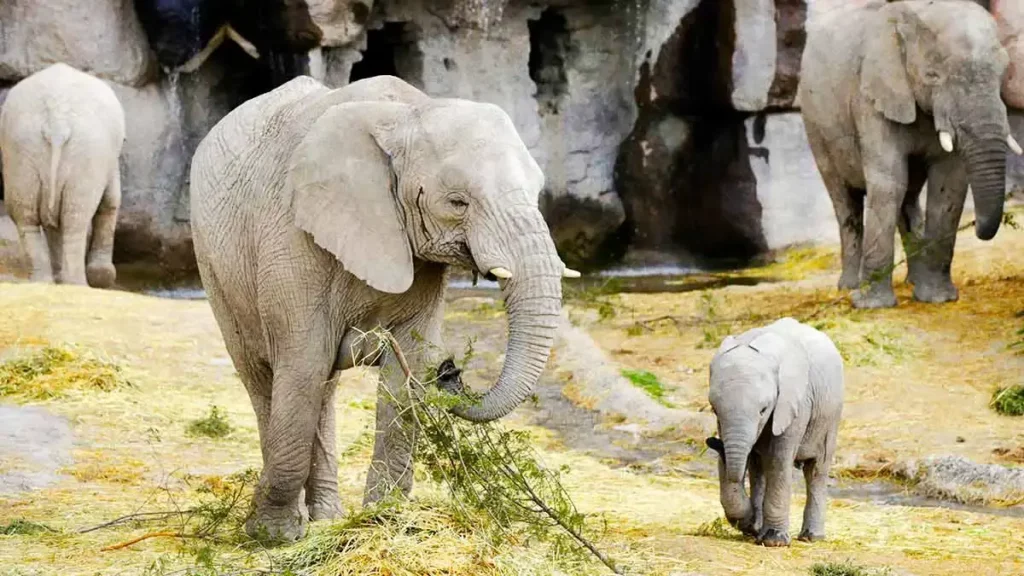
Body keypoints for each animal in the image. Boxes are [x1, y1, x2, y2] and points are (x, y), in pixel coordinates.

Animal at [0, 63, 126, 287]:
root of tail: (56, 121)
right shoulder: (109, 159)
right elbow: (110, 200)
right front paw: (103, 277)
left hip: (20, 149)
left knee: (26, 215)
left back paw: (43, 282)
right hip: (86, 152)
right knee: (75, 218)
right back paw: (77, 284)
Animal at [190, 74, 580, 542]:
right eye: (458, 202)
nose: (451, 371)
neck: (408, 114)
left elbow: (403, 373)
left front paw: (384, 519)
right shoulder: (290, 239)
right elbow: (301, 366)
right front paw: (272, 537)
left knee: (324, 388)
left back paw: (328, 517)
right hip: (214, 263)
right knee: (266, 378)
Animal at [704, 318, 844, 547]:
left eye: (764, 409)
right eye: (714, 409)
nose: (712, 441)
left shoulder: (795, 403)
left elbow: (779, 460)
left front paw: (774, 541)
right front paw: (752, 527)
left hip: (831, 416)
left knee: (816, 469)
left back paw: (811, 537)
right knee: (758, 468)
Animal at [799, 0, 1022, 308]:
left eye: (1003, 73)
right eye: (932, 76)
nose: (978, 227)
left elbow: (949, 184)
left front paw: (938, 299)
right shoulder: (871, 98)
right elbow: (889, 182)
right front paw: (871, 305)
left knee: (908, 198)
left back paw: (913, 282)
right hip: (815, 127)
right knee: (846, 202)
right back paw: (849, 287)